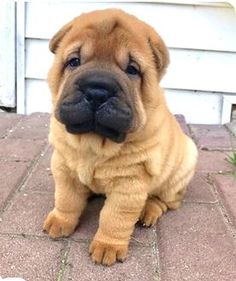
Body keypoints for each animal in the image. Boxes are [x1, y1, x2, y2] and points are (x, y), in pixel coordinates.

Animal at [43, 8, 198, 264]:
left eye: (132, 69)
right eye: (74, 61)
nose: (97, 91)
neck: (94, 143)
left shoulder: (129, 183)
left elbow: (114, 217)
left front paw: (108, 247)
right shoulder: (64, 167)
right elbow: (66, 199)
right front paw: (60, 221)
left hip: (181, 170)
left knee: (165, 200)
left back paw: (148, 211)